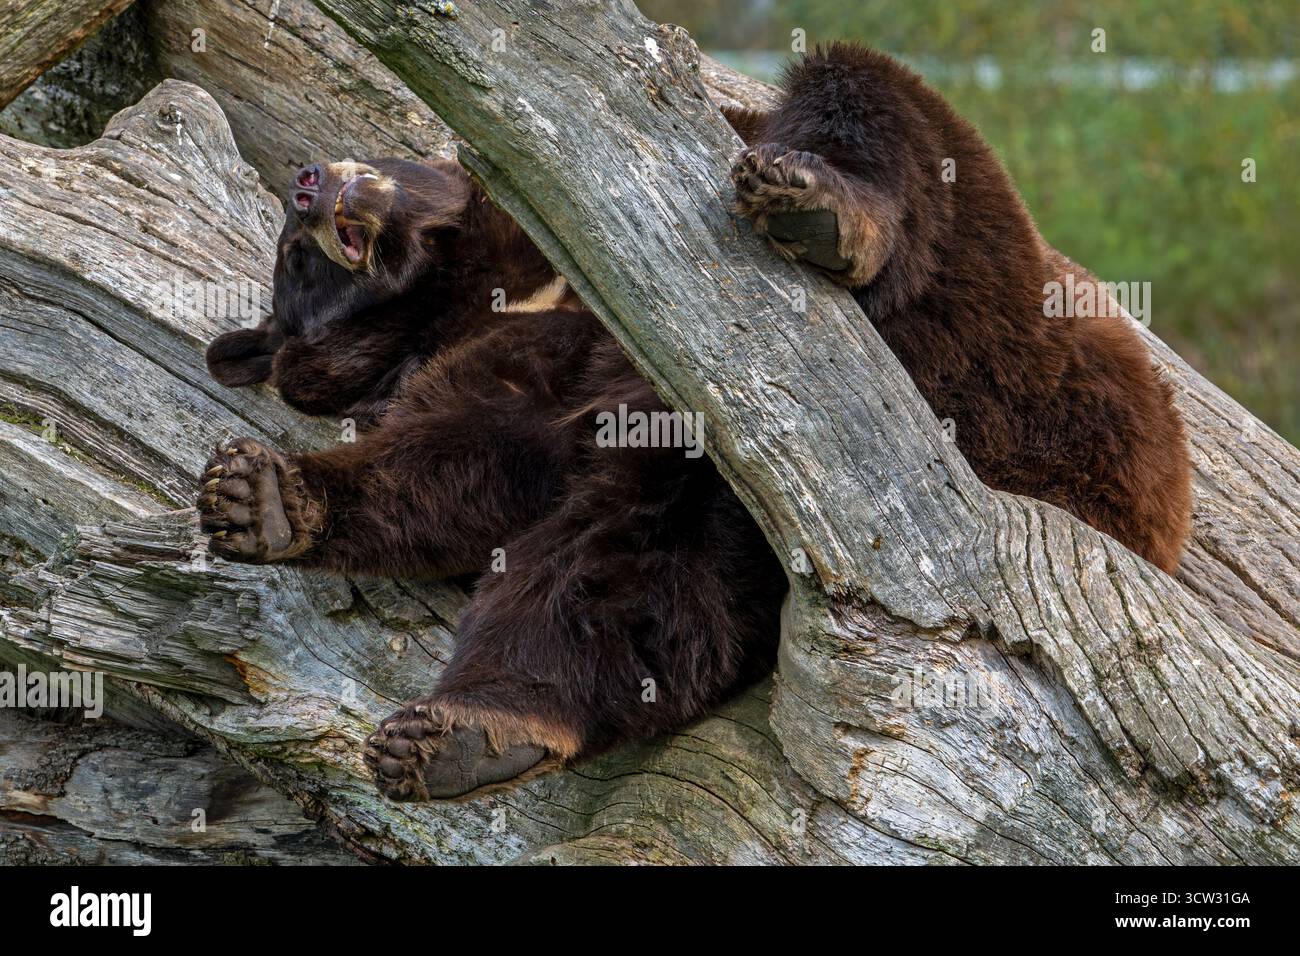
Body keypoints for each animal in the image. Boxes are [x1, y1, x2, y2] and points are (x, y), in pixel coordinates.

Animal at [199, 43, 1192, 801]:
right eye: (294, 265)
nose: (307, 183)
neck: (492, 282)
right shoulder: (516, 356)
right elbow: (460, 465)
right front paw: (260, 495)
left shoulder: (572, 271)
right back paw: (455, 735)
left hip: (1005, 310)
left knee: (874, 101)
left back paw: (817, 208)